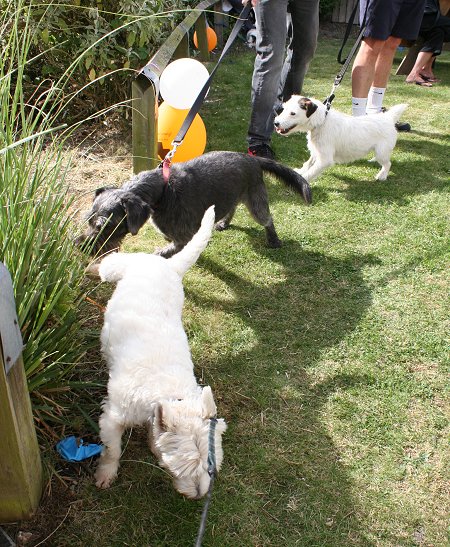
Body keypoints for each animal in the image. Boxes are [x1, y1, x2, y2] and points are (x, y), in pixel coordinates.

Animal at [78, 151, 310, 258]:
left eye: (104, 226)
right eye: (88, 220)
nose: (80, 246)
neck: (162, 192)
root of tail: (252, 158)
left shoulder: (183, 238)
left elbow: (165, 252)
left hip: (256, 202)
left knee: (267, 219)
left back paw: (273, 239)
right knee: (231, 206)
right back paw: (224, 222)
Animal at [93, 208, 227, 498]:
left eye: (210, 466)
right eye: (185, 466)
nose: (199, 495)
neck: (168, 393)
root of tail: (167, 265)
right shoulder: (112, 416)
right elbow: (113, 449)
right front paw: (105, 474)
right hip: (120, 266)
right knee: (107, 263)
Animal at [272, 96, 410, 182]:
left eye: (293, 113)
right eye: (284, 109)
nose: (276, 123)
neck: (322, 121)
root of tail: (387, 118)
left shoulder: (325, 160)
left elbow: (311, 171)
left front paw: (302, 180)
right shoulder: (317, 150)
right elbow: (309, 162)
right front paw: (301, 170)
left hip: (382, 152)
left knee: (388, 164)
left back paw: (382, 175)